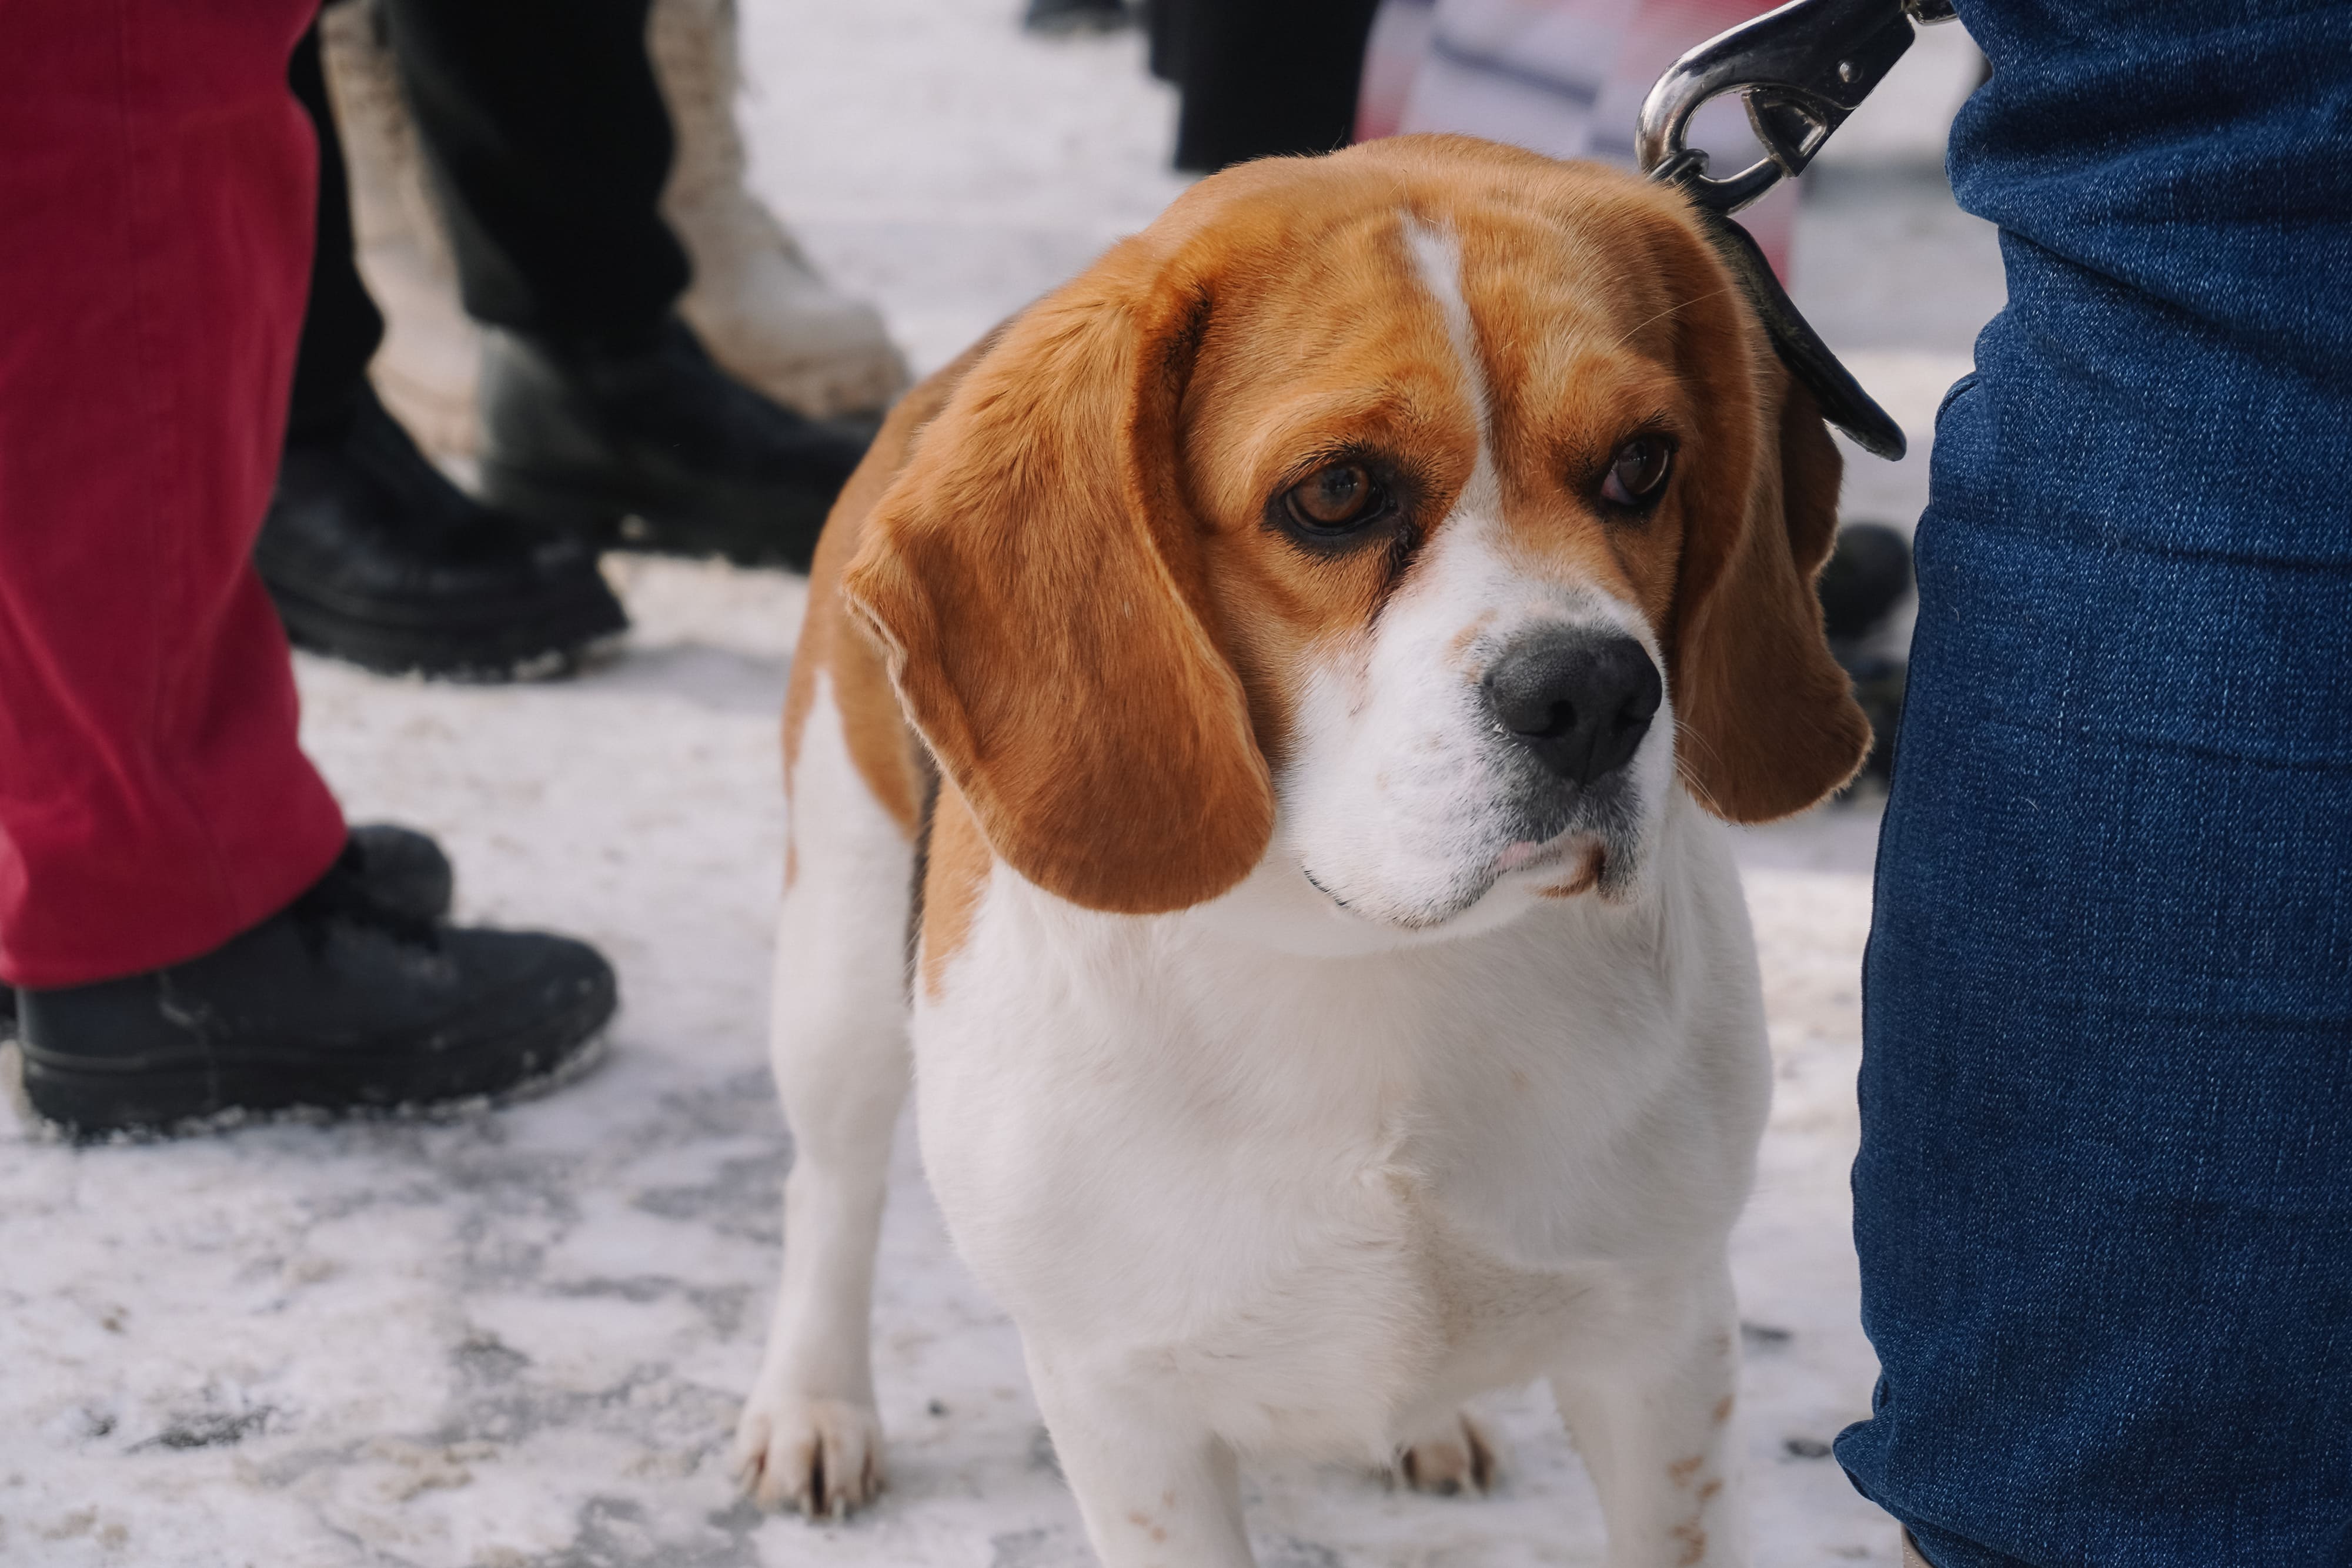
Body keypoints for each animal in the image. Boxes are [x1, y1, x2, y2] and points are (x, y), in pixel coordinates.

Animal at [734, 135, 1872, 1568]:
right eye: (1335, 492)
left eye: (1641, 464)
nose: (1597, 694)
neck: (1369, 970)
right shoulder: (1123, 1404)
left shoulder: (1662, 1344)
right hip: (835, 955)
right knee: (829, 1190)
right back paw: (813, 1405)